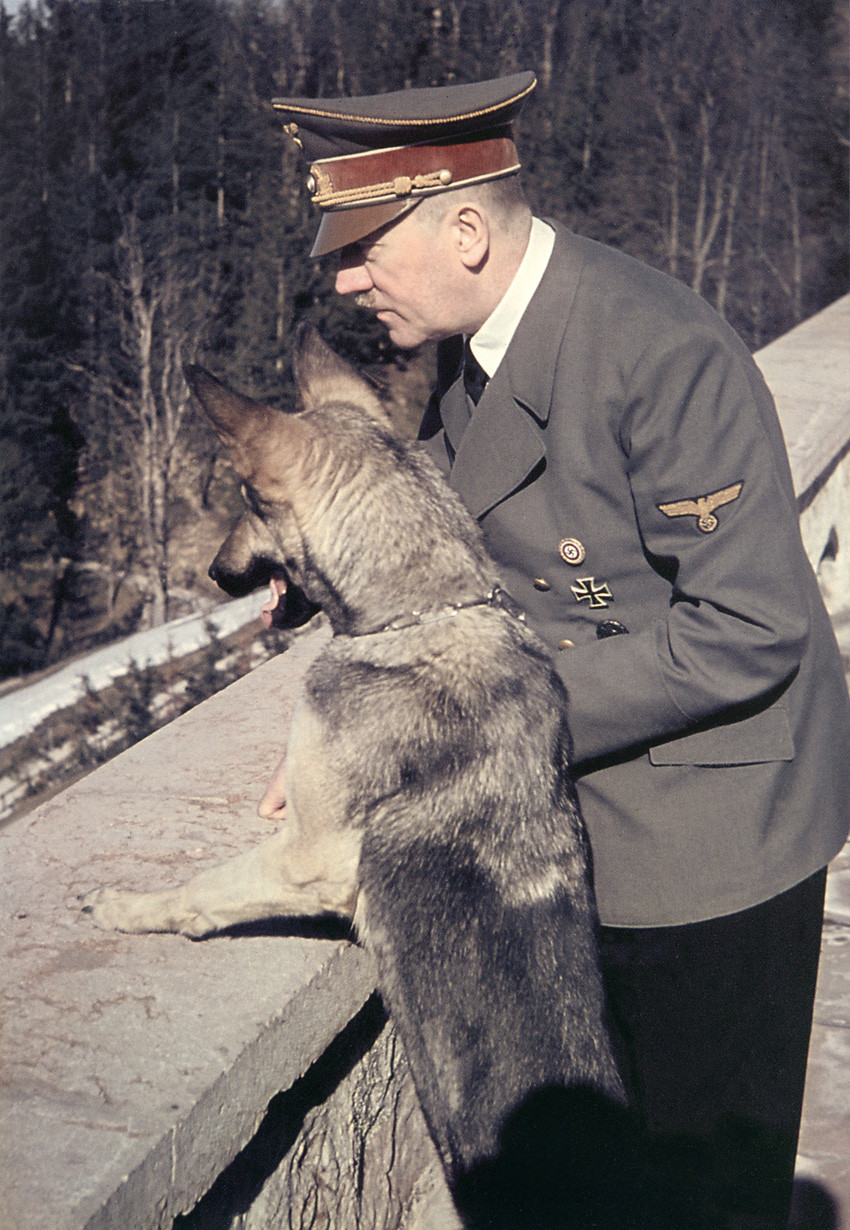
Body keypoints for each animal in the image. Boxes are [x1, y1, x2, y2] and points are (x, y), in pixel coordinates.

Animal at [84, 329, 629, 1230]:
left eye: (247, 496)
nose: (213, 573)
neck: (432, 611)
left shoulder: (311, 856)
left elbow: (205, 890)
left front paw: (130, 907)